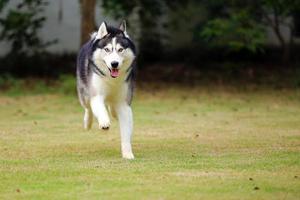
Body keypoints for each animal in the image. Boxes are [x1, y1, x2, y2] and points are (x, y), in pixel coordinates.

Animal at [76, 21, 136, 159]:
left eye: (120, 50)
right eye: (107, 49)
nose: (114, 64)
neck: (112, 79)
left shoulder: (124, 103)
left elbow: (126, 130)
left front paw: (127, 153)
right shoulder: (96, 95)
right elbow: (99, 108)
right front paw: (104, 122)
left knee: (112, 107)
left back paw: (113, 112)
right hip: (84, 94)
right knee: (88, 107)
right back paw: (87, 122)